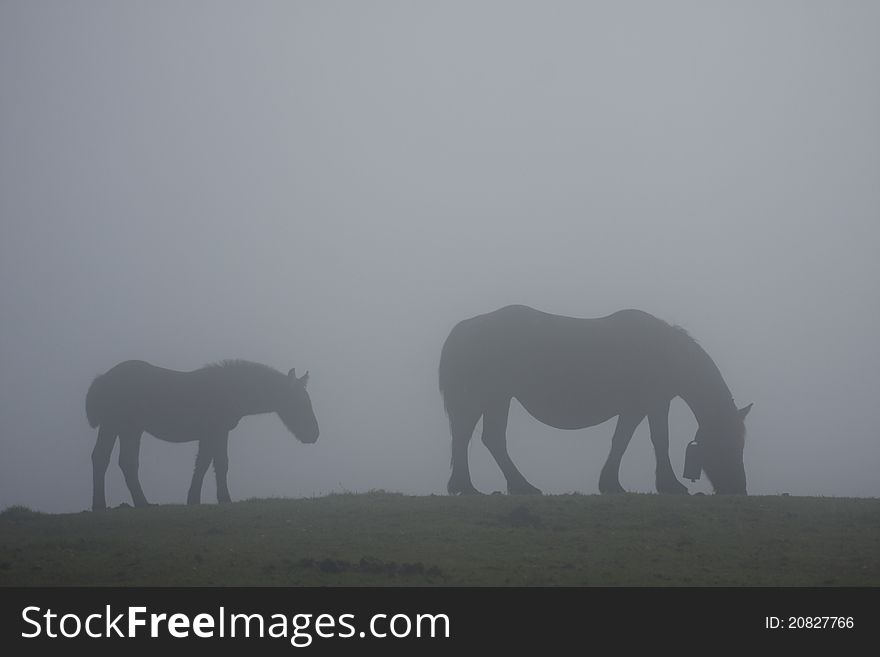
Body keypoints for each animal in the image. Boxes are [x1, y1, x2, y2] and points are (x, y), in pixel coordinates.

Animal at [85, 358, 320, 508]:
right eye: (298, 403)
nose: (314, 434)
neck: (233, 390)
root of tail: (102, 379)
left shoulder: (212, 434)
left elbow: (207, 464)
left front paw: (197, 498)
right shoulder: (216, 431)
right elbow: (216, 464)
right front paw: (220, 498)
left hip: (131, 429)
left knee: (127, 462)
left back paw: (142, 503)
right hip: (113, 425)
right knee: (102, 457)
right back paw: (100, 504)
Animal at [436, 304, 752, 494]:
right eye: (725, 443)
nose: (738, 488)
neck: (665, 352)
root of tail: (465, 329)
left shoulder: (636, 408)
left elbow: (622, 441)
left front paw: (611, 483)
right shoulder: (654, 404)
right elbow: (657, 441)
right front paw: (669, 485)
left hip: (495, 398)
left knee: (478, 437)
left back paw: (488, 486)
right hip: (488, 397)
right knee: (476, 438)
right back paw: (499, 486)